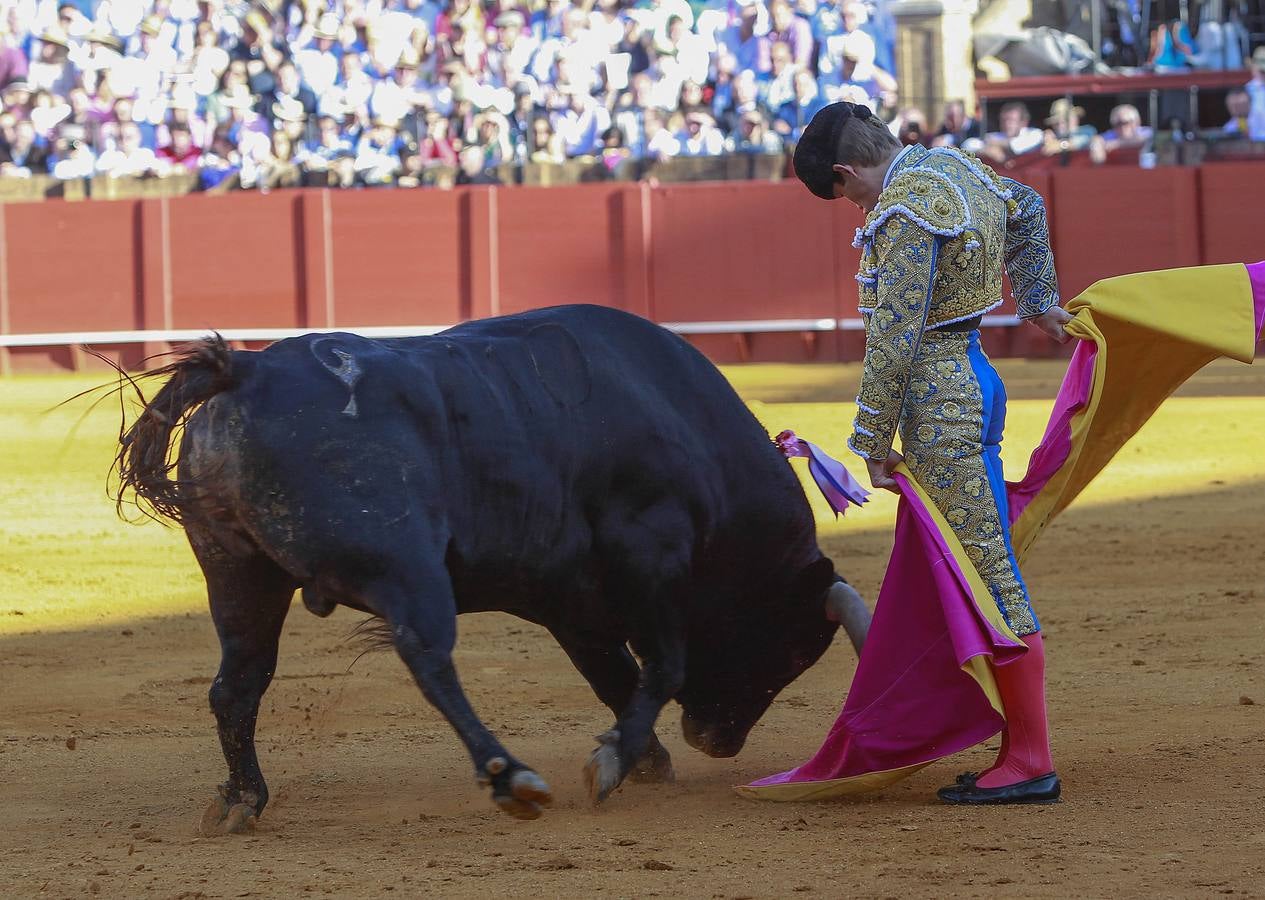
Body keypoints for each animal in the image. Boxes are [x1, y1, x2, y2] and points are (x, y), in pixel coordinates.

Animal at [118, 305, 870, 830]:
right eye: (793, 649)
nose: (716, 742)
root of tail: (249, 370)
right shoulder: (650, 557)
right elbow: (663, 667)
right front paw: (616, 762)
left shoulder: (574, 604)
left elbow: (615, 676)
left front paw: (642, 758)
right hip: (404, 566)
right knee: (427, 658)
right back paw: (511, 778)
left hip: (237, 573)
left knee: (236, 684)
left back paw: (243, 800)